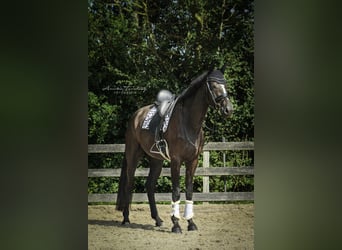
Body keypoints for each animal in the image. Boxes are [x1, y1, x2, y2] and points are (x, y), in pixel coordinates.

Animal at [116, 65, 234, 232]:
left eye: (225, 84)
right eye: (213, 85)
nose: (228, 109)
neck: (188, 123)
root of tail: (136, 115)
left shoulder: (193, 161)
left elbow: (189, 191)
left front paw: (191, 223)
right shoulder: (176, 161)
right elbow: (176, 191)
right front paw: (176, 224)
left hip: (156, 160)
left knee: (149, 185)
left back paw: (158, 220)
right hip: (133, 156)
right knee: (129, 184)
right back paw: (126, 219)